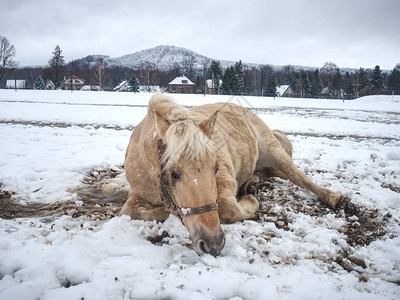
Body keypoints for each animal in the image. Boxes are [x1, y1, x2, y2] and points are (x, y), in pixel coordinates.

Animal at [119, 93, 346, 255]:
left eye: (216, 167)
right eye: (174, 174)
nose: (213, 244)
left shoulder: (224, 179)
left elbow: (226, 208)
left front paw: (251, 200)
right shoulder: (136, 194)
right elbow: (129, 211)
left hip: (273, 150)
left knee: (298, 176)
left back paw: (334, 198)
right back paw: (252, 182)